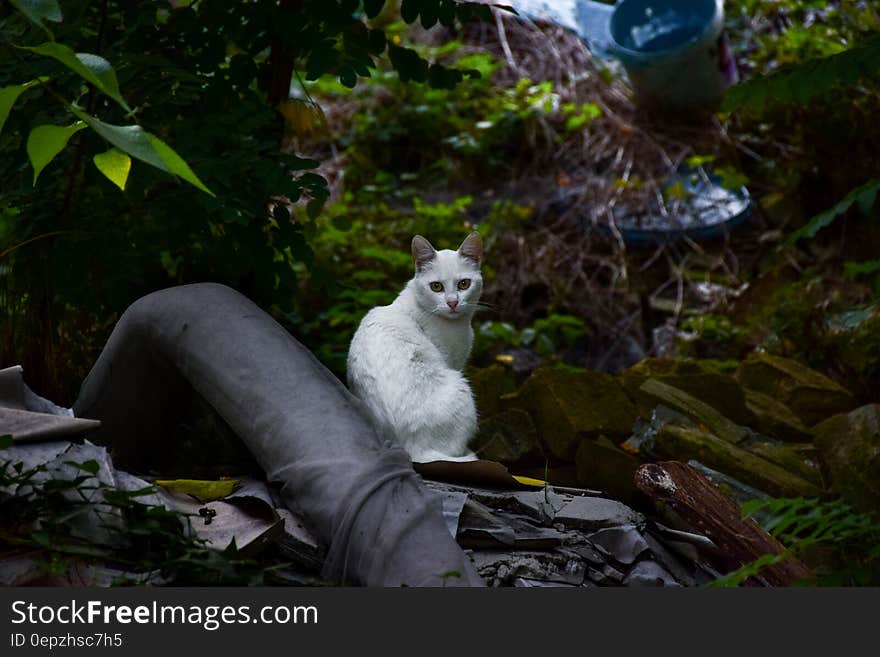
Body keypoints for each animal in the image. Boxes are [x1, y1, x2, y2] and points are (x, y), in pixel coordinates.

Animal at [346, 233, 484, 464]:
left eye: (464, 284)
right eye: (436, 287)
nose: (453, 303)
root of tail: (410, 449)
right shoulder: (453, 361)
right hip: (460, 388)